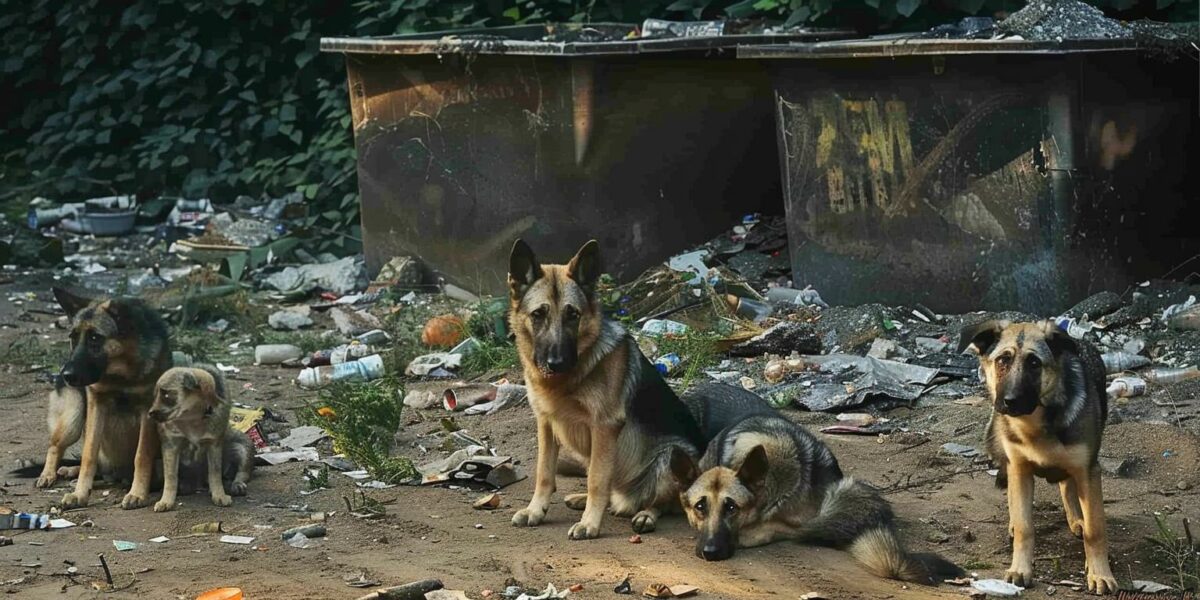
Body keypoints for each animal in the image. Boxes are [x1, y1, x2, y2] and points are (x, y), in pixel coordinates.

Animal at [37, 288, 170, 508]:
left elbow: (142, 455)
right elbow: (88, 454)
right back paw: (51, 474)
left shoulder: (148, 411)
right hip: (74, 418)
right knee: (55, 446)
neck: (122, 373)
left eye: (94, 338)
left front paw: (137, 493)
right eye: (73, 338)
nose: (66, 375)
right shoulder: (96, 404)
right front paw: (80, 494)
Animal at [504, 238, 700, 540]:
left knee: (664, 502)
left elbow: (597, 479)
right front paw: (536, 510)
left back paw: (645, 515)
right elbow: (544, 473)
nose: (557, 363)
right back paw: (582, 499)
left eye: (573, 315)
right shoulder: (546, 424)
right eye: (538, 314)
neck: (565, 381)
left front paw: (589, 524)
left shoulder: (604, 427)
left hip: (671, 455)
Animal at [955, 321, 1113, 592]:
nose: (1010, 402)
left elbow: (1095, 530)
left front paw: (1100, 574)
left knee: (1067, 485)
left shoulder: (1089, 470)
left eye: (1034, 363)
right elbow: (1024, 526)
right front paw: (1020, 569)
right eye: (1002, 361)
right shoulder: (1019, 468)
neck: (1035, 424)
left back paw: (1077, 519)